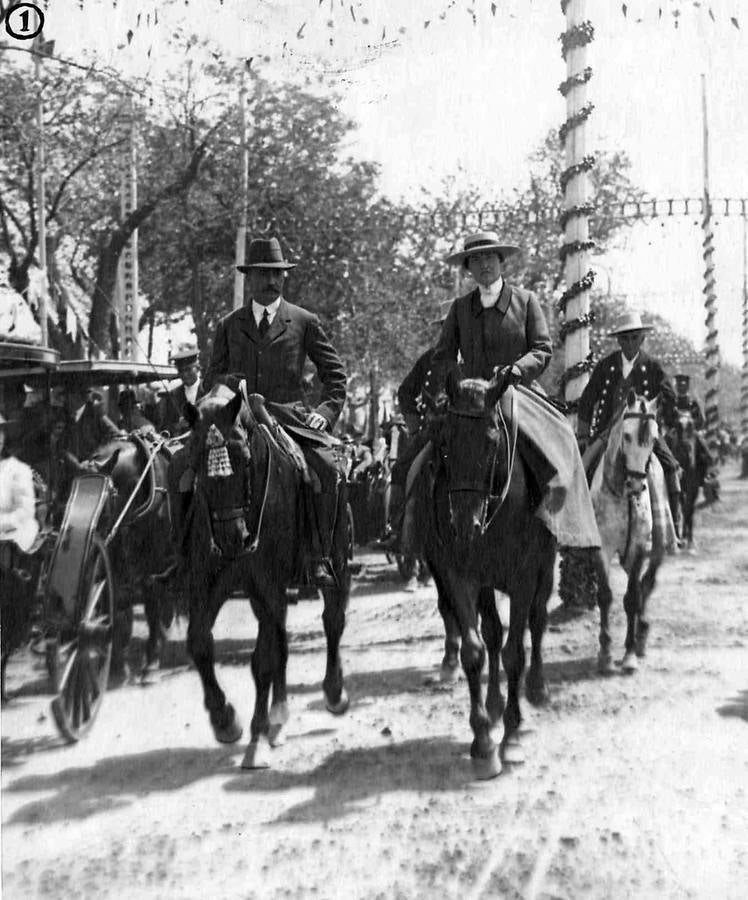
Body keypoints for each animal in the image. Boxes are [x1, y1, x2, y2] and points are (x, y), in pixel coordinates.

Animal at [178, 384, 350, 768]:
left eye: (243, 457)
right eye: (195, 458)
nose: (233, 538)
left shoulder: (269, 582)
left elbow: (263, 660)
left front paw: (255, 737)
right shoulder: (211, 582)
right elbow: (199, 642)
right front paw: (224, 719)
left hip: (337, 561)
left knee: (332, 619)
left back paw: (333, 693)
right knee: (282, 638)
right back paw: (279, 716)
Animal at [414, 372, 556, 780]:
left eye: (492, 441)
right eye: (444, 442)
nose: (465, 526)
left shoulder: (524, 576)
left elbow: (515, 652)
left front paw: (512, 738)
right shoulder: (460, 575)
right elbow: (476, 650)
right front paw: (483, 742)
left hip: (546, 565)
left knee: (537, 620)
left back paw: (536, 689)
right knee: (492, 632)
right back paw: (493, 705)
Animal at [592, 388, 672, 676]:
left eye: (653, 440)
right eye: (626, 436)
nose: (636, 485)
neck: (619, 492)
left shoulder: (638, 547)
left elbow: (632, 598)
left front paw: (628, 655)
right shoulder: (601, 548)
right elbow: (605, 596)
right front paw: (605, 654)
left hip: (656, 546)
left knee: (646, 583)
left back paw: (641, 635)